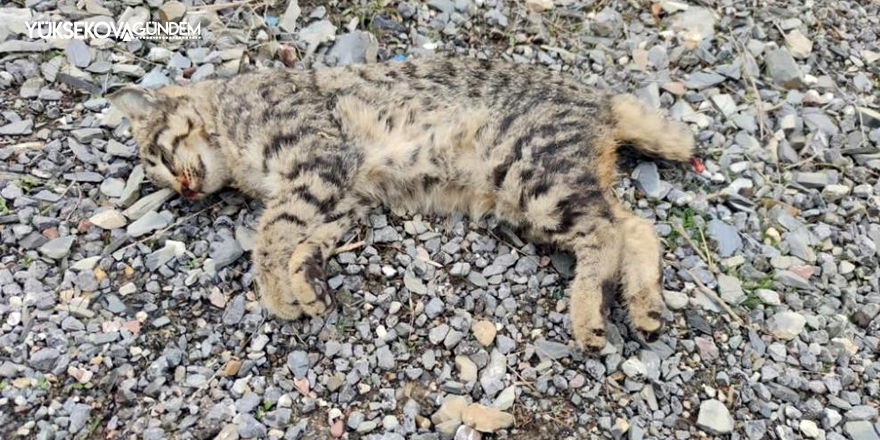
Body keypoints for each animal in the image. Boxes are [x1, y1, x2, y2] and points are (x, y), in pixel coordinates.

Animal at [110, 55, 692, 350]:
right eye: (158, 177)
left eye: (159, 154)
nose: (184, 190)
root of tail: (600, 99)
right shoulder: (346, 195)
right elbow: (308, 240)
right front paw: (308, 284)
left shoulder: (318, 165)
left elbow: (272, 234)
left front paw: (277, 294)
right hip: (544, 192)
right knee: (635, 225)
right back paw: (646, 307)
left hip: (535, 178)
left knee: (606, 232)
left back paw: (589, 314)